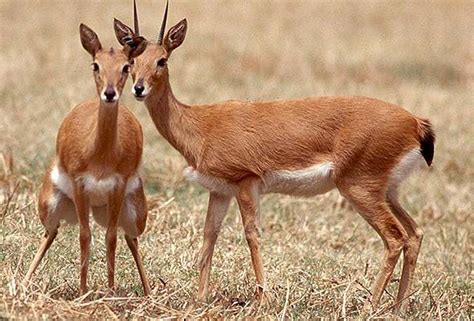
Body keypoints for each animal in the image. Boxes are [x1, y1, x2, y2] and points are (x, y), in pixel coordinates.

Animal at [22, 23, 151, 296]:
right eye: (96, 65)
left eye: (126, 66)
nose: (109, 93)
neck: (100, 155)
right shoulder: (80, 184)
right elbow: (84, 236)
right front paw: (83, 293)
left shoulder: (117, 186)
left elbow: (111, 237)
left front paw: (110, 292)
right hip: (51, 204)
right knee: (50, 233)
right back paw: (24, 284)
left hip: (135, 212)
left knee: (130, 238)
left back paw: (148, 292)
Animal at [114, 0, 434, 310]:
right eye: (131, 62)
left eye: (162, 60)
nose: (139, 89)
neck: (200, 125)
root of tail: (416, 123)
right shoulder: (220, 191)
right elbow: (209, 236)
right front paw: (199, 299)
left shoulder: (246, 183)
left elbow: (251, 235)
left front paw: (263, 299)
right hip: (388, 191)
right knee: (414, 234)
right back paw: (399, 307)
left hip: (359, 189)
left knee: (395, 238)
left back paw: (371, 306)